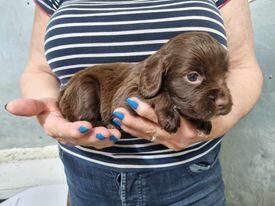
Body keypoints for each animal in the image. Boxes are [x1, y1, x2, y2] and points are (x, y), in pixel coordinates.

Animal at [57, 31, 233, 135]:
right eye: (192, 77)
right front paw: (169, 115)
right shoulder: (125, 97)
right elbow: (162, 95)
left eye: (225, 75)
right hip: (86, 85)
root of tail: (63, 91)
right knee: (81, 118)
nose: (223, 103)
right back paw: (106, 125)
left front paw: (202, 121)